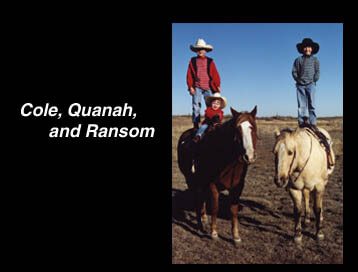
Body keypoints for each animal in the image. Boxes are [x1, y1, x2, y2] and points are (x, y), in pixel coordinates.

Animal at [177, 106, 258, 246]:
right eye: (237, 129)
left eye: (252, 127)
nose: (249, 156)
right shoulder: (212, 185)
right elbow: (215, 208)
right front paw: (214, 233)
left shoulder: (237, 187)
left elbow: (233, 211)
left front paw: (236, 236)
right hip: (190, 179)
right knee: (197, 199)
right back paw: (200, 223)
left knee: (202, 198)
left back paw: (204, 218)